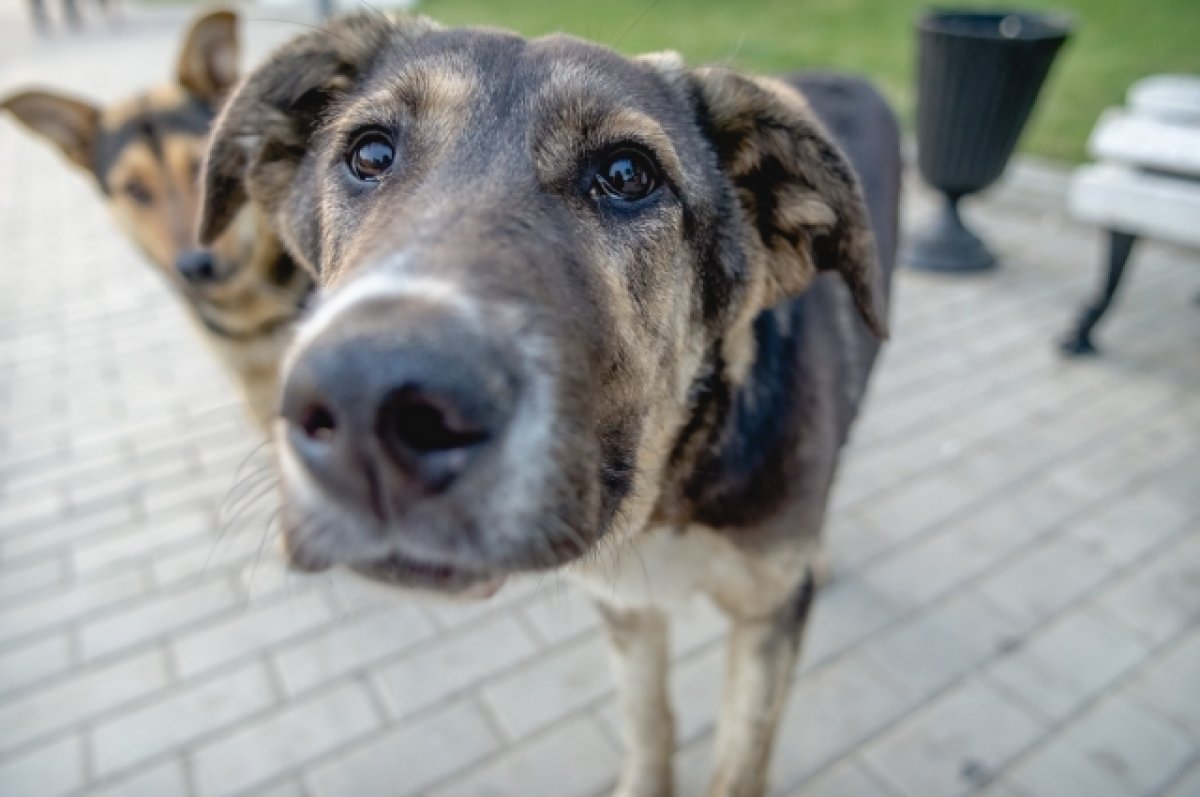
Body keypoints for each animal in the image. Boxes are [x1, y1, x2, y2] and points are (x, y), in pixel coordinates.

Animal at [196, 14, 897, 797]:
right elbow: (648, 718)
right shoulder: (623, 604)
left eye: (627, 174)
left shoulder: (767, 622)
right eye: (369, 153)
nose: (366, 402)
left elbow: (740, 759)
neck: (671, 488)